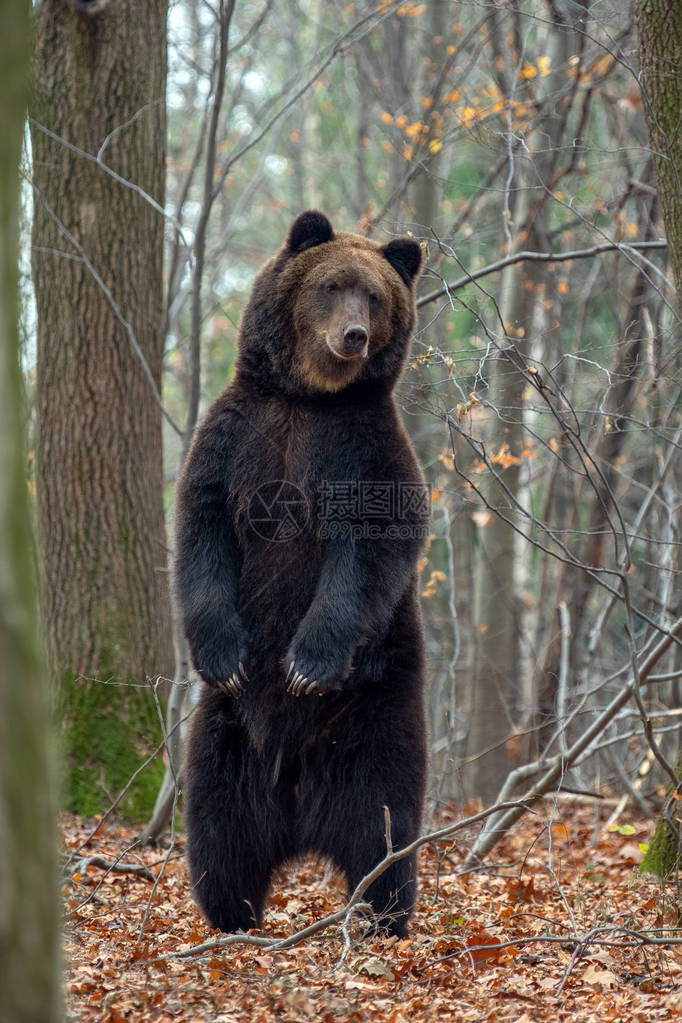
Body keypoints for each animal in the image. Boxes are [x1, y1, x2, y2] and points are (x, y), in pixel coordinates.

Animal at [174, 207, 427, 937]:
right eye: (333, 284)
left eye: (375, 295)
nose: (353, 336)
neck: (313, 397)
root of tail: (298, 815)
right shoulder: (237, 437)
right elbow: (203, 531)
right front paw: (226, 653)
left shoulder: (363, 450)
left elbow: (372, 547)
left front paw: (306, 663)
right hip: (226, 735)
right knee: (218, 830)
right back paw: (232, 915)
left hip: (377, 704)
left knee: (383, 824)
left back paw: (381, 917)